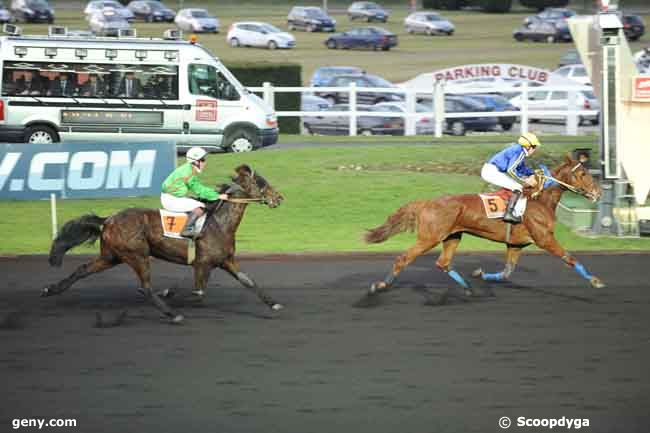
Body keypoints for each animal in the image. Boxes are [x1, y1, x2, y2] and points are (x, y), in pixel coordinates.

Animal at [43, 164, 280, 322]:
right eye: (260, 182)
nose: (279, 198)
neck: (219, 223)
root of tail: (108, 219)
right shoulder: (202, 263)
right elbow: (198, 294)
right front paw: (169, 293)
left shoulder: (225, 260)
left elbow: (248, 281)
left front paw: (273, 303)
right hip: (137, 255)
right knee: (145, 288)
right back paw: (172, 313)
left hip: (111, 256)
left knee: (83, 269)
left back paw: (50, 289)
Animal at [364, 153, 604, 304]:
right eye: (583, 173)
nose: (598, 193)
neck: (540, 200)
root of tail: (426, 203)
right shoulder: (544, 238)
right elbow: (569, 258)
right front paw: (595, 281)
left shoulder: (516, 244)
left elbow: (506, 272)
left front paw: (480, 274)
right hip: (429, 238)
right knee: (402, 259)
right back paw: (379, 286)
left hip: (453, 236)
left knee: (443, 263)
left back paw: (468, 288)